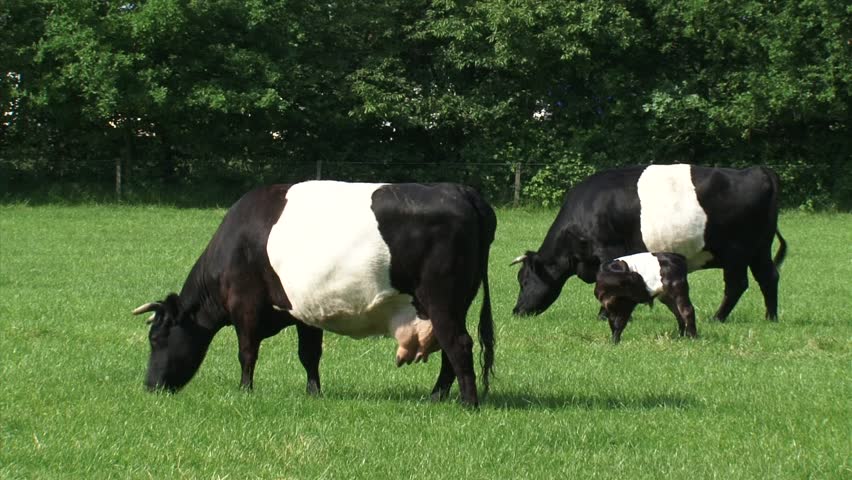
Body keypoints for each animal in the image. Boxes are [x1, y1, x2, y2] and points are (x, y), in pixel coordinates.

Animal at [131, 181, 496, 407]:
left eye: (156, 338)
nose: (150, 386)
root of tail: (460, 190)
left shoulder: (245, 305)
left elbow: (247, 353)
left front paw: (245, 390)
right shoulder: (305, 310)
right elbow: (309, 354)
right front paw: (314, 393)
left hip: (442, 299)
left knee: (458, 345)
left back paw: (468, 403)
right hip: (454, 304)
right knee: (450, 351)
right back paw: (437, 397)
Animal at [512, 164, 787, 322]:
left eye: (524, 280)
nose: (517, 311)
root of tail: (758, 171)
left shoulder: (609, 251)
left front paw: (604, 315)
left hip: (736, 252)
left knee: (737, 285)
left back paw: (717, 318)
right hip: (759, 250)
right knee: (768, 277)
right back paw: (770, 318)